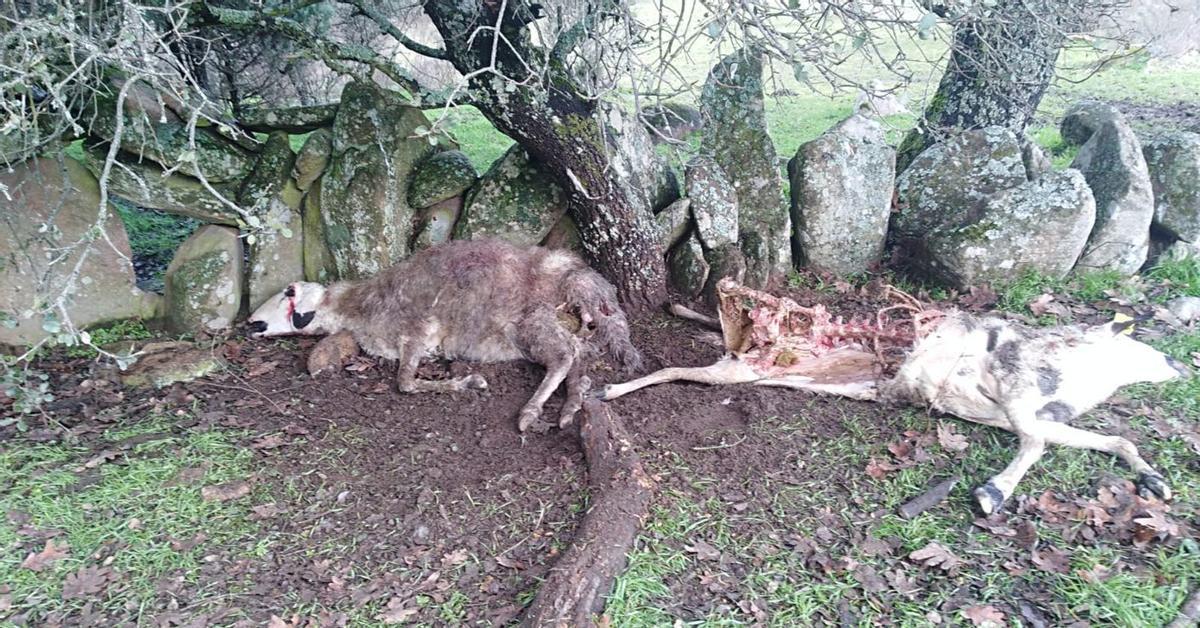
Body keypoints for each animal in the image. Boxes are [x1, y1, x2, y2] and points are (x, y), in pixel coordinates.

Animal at [247, 239, 641, 431]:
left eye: (288, 291)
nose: (251, 323)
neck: (358, 306)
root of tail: (582, 278)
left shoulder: (417, 331)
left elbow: (405, 383)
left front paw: (469, 382)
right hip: (558, 323)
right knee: (576, 354)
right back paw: (574, 401)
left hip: (530, 322)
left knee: (562, 356)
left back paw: (532, 412)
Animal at [597, 278, 1191, 514]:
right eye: (1147, 342)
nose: (1182, 363)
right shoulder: (1017, 389)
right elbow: (1037, 445)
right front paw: (992, 492)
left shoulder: (1026, 413)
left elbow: (1110, 439)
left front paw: (1154, 478)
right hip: (743, 360)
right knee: (683, 352)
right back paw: (613, 384)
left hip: (741, 367)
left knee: (708, 338)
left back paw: (680, 312)